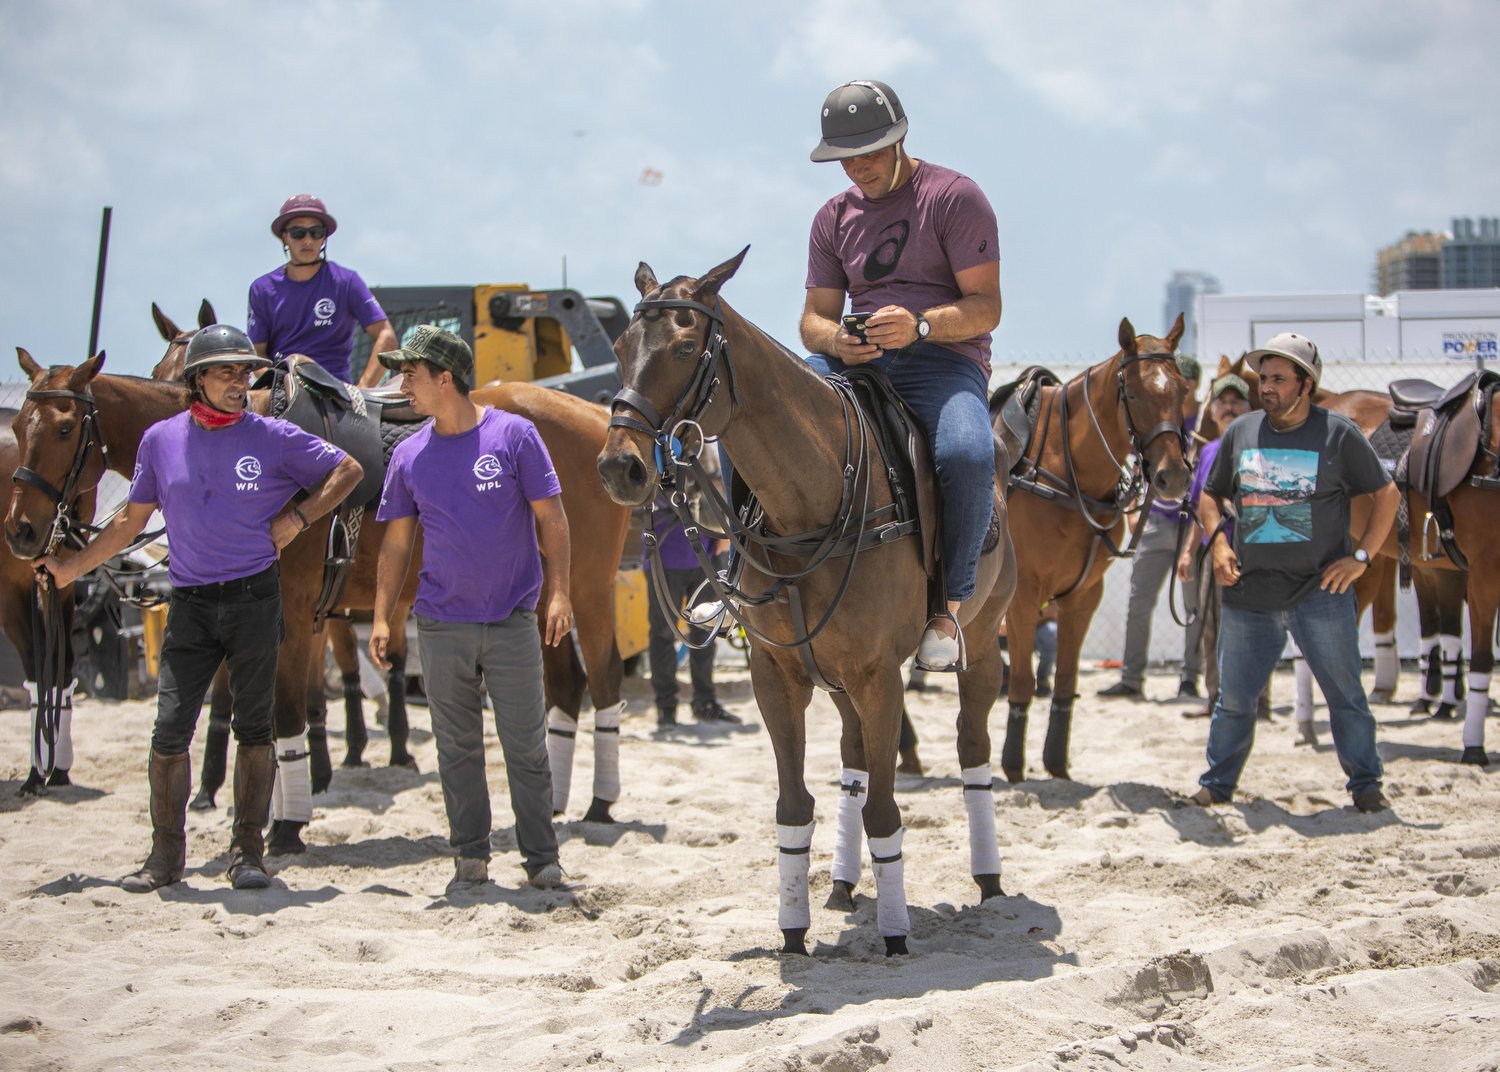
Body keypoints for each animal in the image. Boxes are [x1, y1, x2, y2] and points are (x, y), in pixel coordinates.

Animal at [155, 310, 636, 821]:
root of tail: (596, 416)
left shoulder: (293, 606)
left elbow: (280, 709)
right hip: (545, 594)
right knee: (566, 683)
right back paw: (555, 801)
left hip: (586, 583)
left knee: (604, 675)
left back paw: (600, 803)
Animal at [591, 251, 1014, 953]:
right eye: (622, 347)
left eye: (685, 346)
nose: (619, 468)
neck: (812, 507)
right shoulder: (779, 674)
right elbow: (795, 806)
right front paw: (793, 928)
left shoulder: (878, 676)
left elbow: (885, 812)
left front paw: (895, 936)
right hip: (836, 678)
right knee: (852, 757)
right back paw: (843, 884)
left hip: (979, 643)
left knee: (971, 747)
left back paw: (989, 879)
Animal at [996, 314, 1194, 785]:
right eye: (1134, 394)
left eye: (1182, 391)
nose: (1173, 477)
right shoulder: (1023, 598)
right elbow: (1022, 681)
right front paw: (1013, 767)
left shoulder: (1083, 596)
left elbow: (1067, 681)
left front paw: (1056, 763)